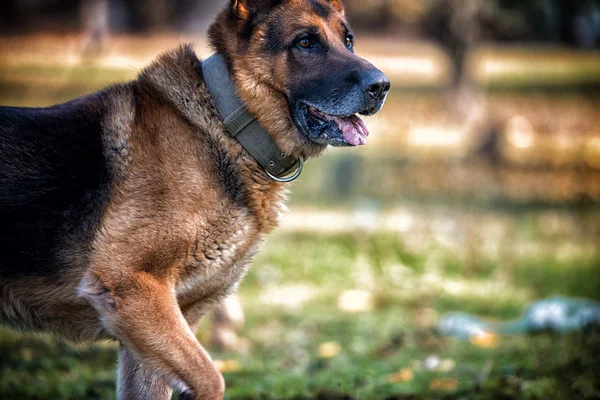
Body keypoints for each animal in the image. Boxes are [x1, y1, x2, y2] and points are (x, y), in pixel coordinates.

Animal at [0, 0, 390, 396]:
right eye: (305, 42)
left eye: (348, 40)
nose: (381, 86)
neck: (227, 123)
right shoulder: (134, 289)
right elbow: (210, 380)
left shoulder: (152, 331)